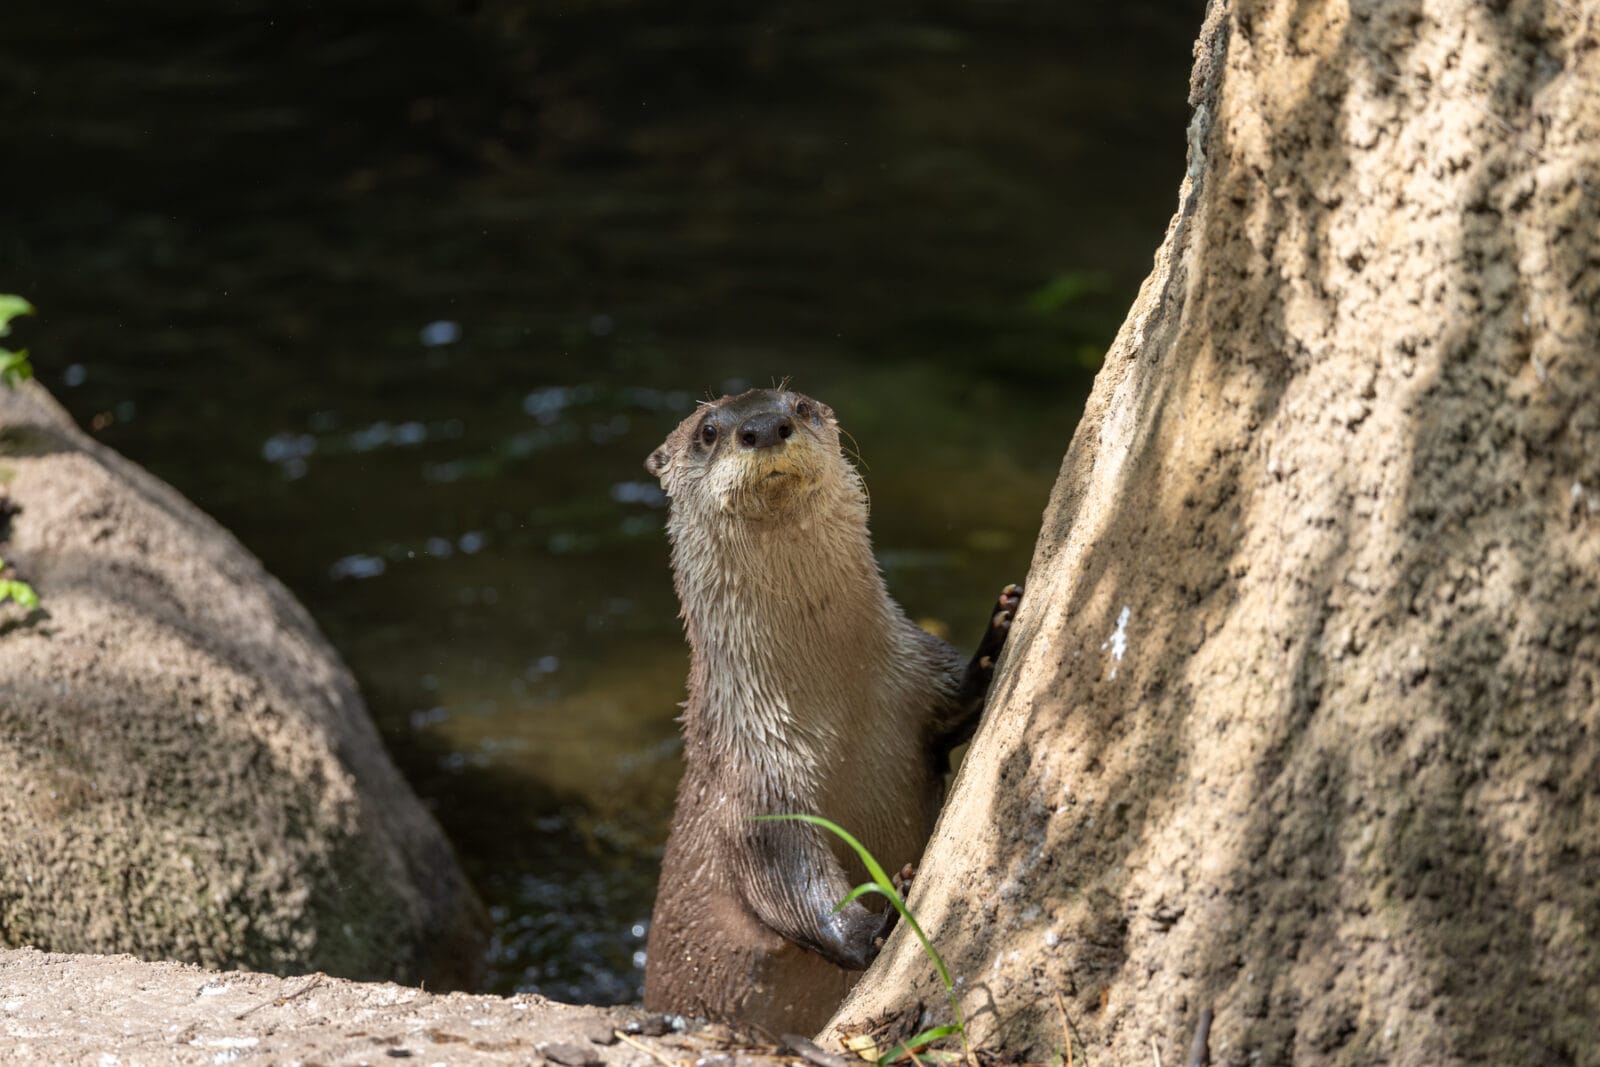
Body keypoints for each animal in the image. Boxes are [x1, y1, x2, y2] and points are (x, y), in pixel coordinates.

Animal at [641, 388, 1020, 1034]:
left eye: (796, 404)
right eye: (708, 431)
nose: (765, 427)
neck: (839, 710)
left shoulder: (914, 671)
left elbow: (958, 700)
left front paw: (997, 637)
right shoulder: (753, 778)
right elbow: (792, 885)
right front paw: (879, 922)